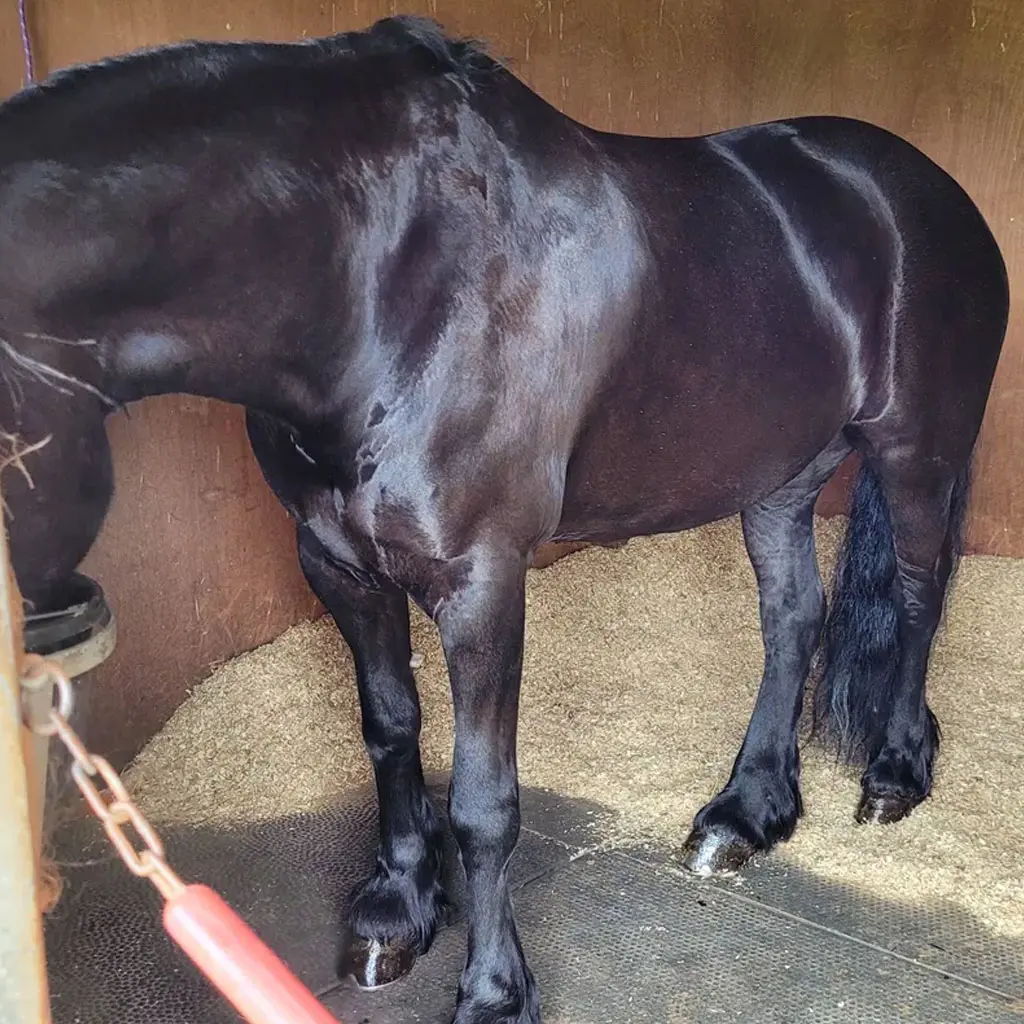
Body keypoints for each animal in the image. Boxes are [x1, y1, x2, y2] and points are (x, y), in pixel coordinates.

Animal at [0, 16, 1008, 1023]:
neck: (383, 281)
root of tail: (928, 190)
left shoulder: (481, 581)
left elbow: (485, 804)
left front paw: (492, 989)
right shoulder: (337, 562)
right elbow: (389, 729)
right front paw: (399, 909)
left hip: (917, 455)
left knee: (917, 599)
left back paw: (896, 771)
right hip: (779, 481)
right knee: (794, 620)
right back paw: (746, 811)